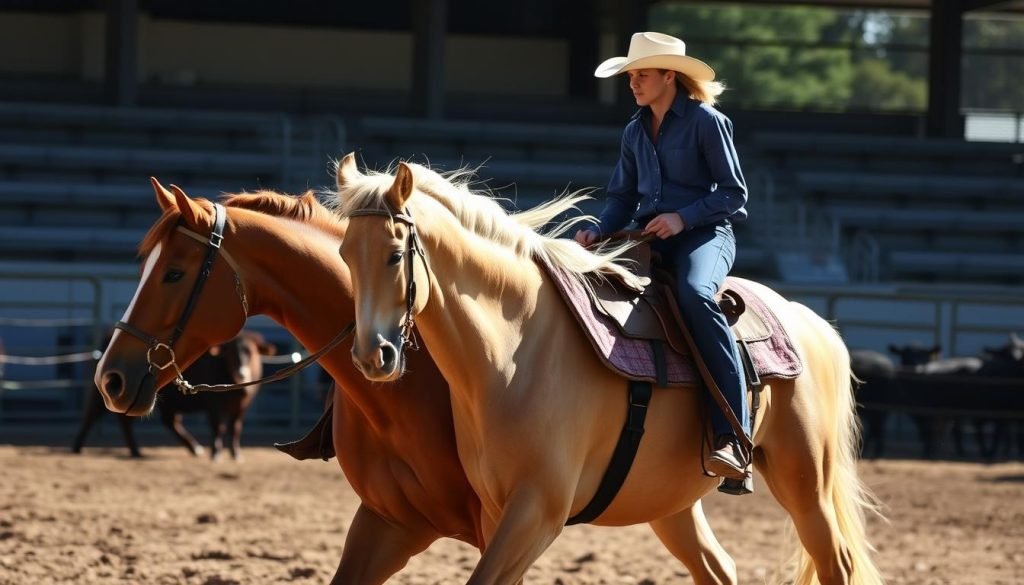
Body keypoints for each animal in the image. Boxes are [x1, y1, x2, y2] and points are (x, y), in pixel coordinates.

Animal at [75, 330, 275, 460]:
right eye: (231, 353)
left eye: (250, 351)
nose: (242, 372)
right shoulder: (213, 405)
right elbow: (218, 427)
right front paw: (216, 453)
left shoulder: (242, 406)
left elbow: (236, 428)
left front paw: (236, 454)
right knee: (93, 415)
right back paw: (79, 447)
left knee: (166, 422)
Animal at [332, 155, 884, 585]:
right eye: (344, 253)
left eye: (395, 255)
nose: (372, 356)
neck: (515, 350)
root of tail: (811, 322)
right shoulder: (495, 513)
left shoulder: (538, 511)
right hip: (672, 501)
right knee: (719, 567)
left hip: (805, 482)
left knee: (837, 562)